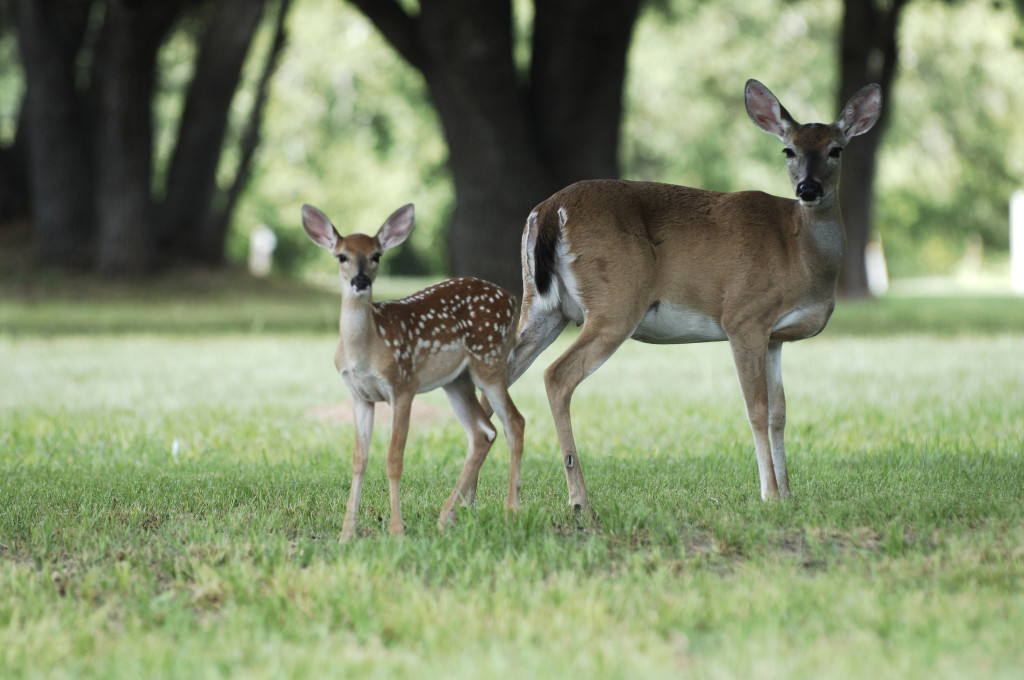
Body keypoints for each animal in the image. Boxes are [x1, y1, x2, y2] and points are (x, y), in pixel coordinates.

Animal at [301, 202, 528, 540]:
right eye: (341, 256)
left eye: (376, 255)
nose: (360, 281)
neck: (367, 346)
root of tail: (513, 298)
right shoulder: (360, 396)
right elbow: (358, 460)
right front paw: (345, 536)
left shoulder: (403, 385)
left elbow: (394, 459)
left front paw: (397, 531)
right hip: (456, 381)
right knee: (483, 432)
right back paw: (445, 518)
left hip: (489, 361)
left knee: (514, 421)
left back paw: (511, 513)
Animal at [507, 78, 884, 503]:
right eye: (788, 150)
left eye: (836, 149)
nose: (808, 188)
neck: (801, 253)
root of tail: (550, 210)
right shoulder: (744, 315)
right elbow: (756, 408)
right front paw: (770, 494)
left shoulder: (774, 336)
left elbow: (780, 413)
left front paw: (788, 494)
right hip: (615, 301)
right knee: (556, 376)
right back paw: (579, 501)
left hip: (541, 306)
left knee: (500, 372)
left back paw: (488, 499)